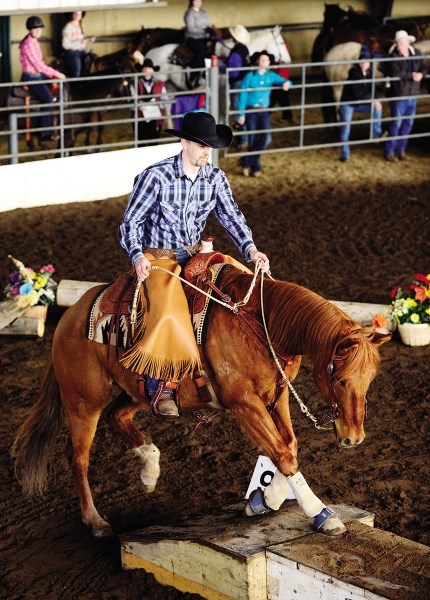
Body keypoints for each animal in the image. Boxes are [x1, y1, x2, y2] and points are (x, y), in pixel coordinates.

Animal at [12, 264, 390, 536]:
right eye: (340, 379)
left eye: (371, 379)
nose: (354, 438)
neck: (260, 324)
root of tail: (71, 315)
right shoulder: (244, 403)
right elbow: (282, 453)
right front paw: (322, 514)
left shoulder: (278, 394)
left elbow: (289, 447)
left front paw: (264, 501)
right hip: (83, 401)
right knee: (78, 458)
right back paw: (95, 521)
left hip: (137, 391)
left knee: (118, 416)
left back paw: (149, 470)